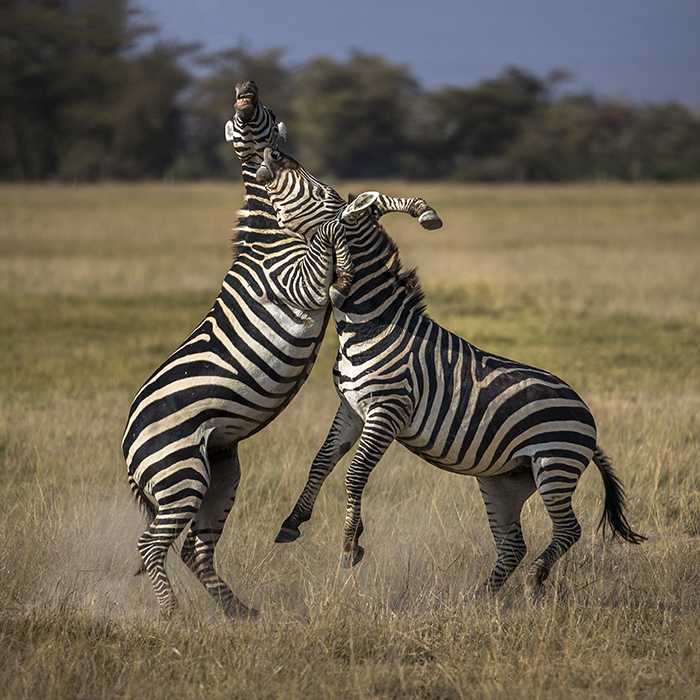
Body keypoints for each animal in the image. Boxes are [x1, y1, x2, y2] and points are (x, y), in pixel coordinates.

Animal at [258, 146, 644, 600]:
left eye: (320, 192)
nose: (274, 153)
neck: (370, 323)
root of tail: (587, 417)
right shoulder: (351, 408)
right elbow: (320, 462)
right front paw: (293, 522)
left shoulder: (387, 412)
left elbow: (354, 475)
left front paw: (351, 544)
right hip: (505, 479)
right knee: (512, 544)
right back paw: (480, 600)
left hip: (554, 465)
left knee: (568, 530)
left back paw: (534, 582)